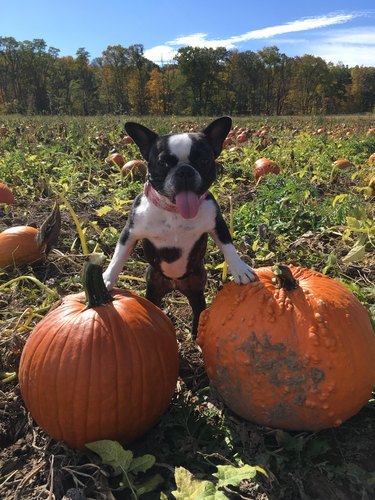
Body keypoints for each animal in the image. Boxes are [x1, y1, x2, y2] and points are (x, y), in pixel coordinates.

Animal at [103, 116, 256, 336]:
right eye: (163, 163)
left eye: (204, 160)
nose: (184, 171)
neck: (175, 211)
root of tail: (175, 285)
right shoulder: (130, 232)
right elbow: (119, 255)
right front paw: (106, 278)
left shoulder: (217, 223)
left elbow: (228, 246)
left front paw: (240, 269)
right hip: (154, 288)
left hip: (196, 289)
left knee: (198, 308)